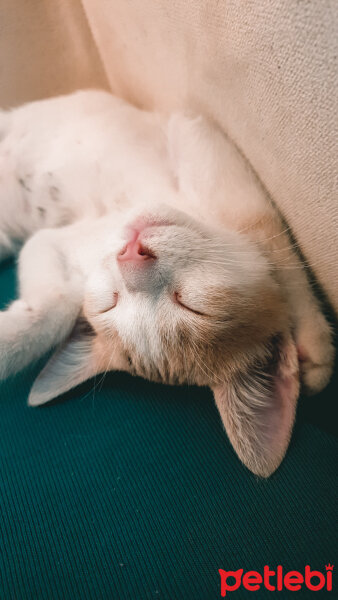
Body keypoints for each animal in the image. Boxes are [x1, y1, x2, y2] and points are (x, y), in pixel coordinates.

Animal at [0, 89, 334, 476]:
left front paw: (314, 341)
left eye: (191, 305)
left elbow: (262, 229)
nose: (130, 253)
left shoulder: (198, 135)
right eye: (113, 300)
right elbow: (55, 304)